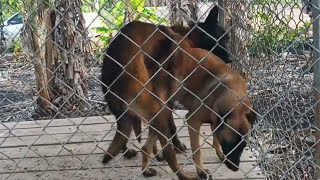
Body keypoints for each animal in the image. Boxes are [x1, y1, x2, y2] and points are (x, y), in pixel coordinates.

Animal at [101, 5, 231, 166]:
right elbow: (172, 126)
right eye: (221, 39)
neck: (188, 38)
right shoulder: (168, 96)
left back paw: (128, 152)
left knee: (124, 130)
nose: (231, 59)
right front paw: (176, 146)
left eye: (228, 39)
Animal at [141, 35, 258, 179]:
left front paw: (219, 153)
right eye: (231, 144)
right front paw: (201, 171)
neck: (228, 92)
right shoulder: (193, 121)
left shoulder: (215, 122)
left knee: (146, 145)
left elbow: (216, 139)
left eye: (243, 145)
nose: (235, 168)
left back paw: (148, 165)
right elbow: (197, 150)